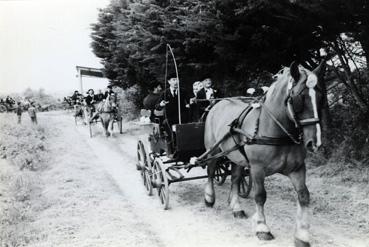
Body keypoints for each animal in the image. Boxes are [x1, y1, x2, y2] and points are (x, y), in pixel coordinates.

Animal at [204, 60, 324, 246]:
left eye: (320, 97)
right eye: (300, 98)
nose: (314, 142)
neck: (277, 130)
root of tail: (217, 103)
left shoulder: (297, 169)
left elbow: (304, 195)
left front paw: (302, 235)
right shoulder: (257, 168)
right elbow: (260, 196)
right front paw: (262, 228)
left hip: (237, 157)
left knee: (235, 178)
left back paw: (236, 208)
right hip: (213, 150)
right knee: (210, 171)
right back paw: (209, 198)